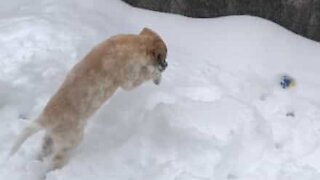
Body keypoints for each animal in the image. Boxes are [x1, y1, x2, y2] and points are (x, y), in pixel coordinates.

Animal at [9, 27, 168, 169]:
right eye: (164, 57)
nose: (166, 65)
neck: (135, 43)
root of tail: (46, 118)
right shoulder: (128, 80)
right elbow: (147, 73)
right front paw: (157, 76)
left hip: (49, 139)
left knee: (42, 153)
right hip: (71, 141)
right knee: (54, 162)